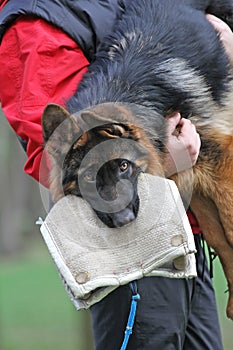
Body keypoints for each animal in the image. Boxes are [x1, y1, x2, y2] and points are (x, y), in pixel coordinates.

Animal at [41, 0, 233, 318]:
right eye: (89, 177)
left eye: (123, 166)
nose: (124, 220)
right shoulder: (191, 178)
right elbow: (221, 236)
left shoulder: (218, 163)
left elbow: (228, 224)